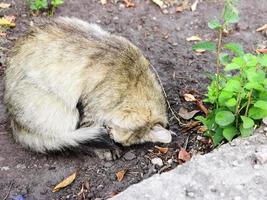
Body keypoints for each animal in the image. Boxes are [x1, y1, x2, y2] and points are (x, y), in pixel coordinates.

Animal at [4, 16, 173, 161]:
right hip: (64, 111)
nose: (112, 137)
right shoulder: (91, 108)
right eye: (115, 134)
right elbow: (89, 128)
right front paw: (106, 149)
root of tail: (14, 123)